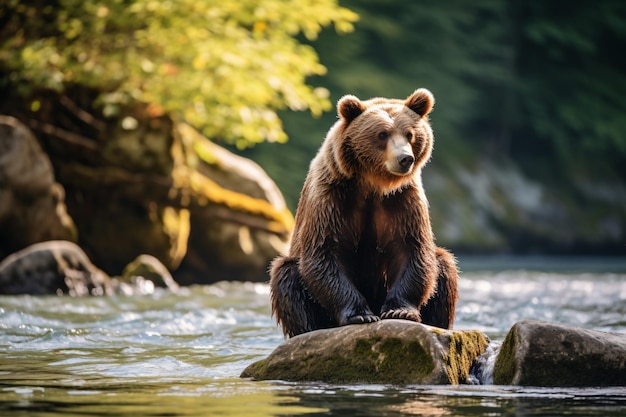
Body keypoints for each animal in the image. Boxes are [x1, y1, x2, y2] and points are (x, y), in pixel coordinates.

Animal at [270, 88, 458, 338]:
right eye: (382, 134)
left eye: (410, 134)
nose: (404, 158)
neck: (372, 185)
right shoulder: (331, 198)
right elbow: (324, 253)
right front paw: (360, 314)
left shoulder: (403, 201)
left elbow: (412, 250)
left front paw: (400, 311)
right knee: (287, 275)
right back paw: (309, 329)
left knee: (444, 267)